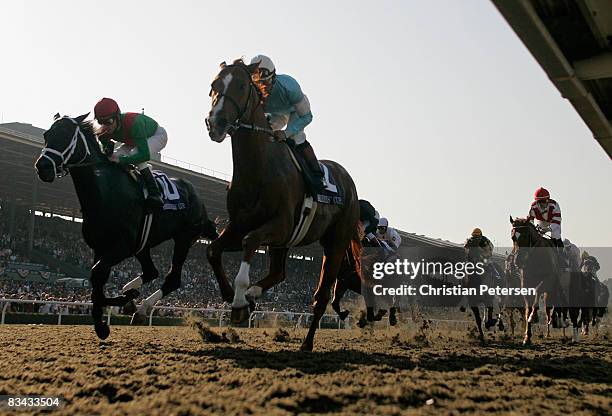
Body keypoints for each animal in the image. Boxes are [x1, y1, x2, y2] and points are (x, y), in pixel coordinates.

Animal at [206, 58, 360, 352]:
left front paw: (239, 300)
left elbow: (250, 242)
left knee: (321, 296)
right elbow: (213, 250)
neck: (259, 167)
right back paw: (253, 294)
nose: (215, 123)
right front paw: (231, 294)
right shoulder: (239, 225)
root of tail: (350, 182)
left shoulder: (281, 225)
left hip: (334, 245)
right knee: (279, 272)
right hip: (283, 244)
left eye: (241, 85)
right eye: (214, 85)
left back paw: (306, 343)